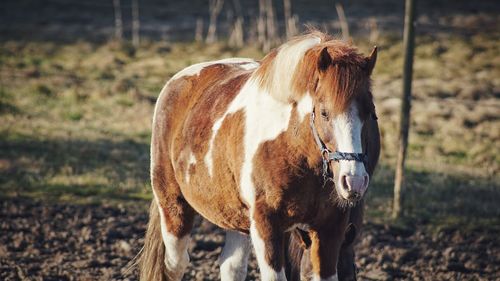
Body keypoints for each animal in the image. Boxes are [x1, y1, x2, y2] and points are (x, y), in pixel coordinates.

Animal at [139, 32, 380, 280]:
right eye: (324, 112)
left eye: (371, 112)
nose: (354, 181)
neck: (296, 151)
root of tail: (176, 82)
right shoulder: (267, 226)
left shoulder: (330, 229)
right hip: (173, 206)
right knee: (174, 264)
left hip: (236, 218)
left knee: (231, 266)